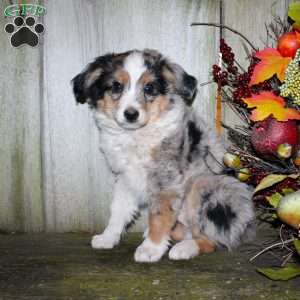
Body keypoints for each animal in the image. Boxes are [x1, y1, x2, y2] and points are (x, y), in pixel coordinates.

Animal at [71, 48, 254, 262]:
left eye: (149, 88)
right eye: (116, 86)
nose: (131, 115)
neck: (135, 135)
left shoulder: (165, 180)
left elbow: (159, 214)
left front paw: (151, 249)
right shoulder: (126, 177)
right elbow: (118, 209)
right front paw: (108, 237)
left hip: (204, 186)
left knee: (212, 238)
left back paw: (184, 249)